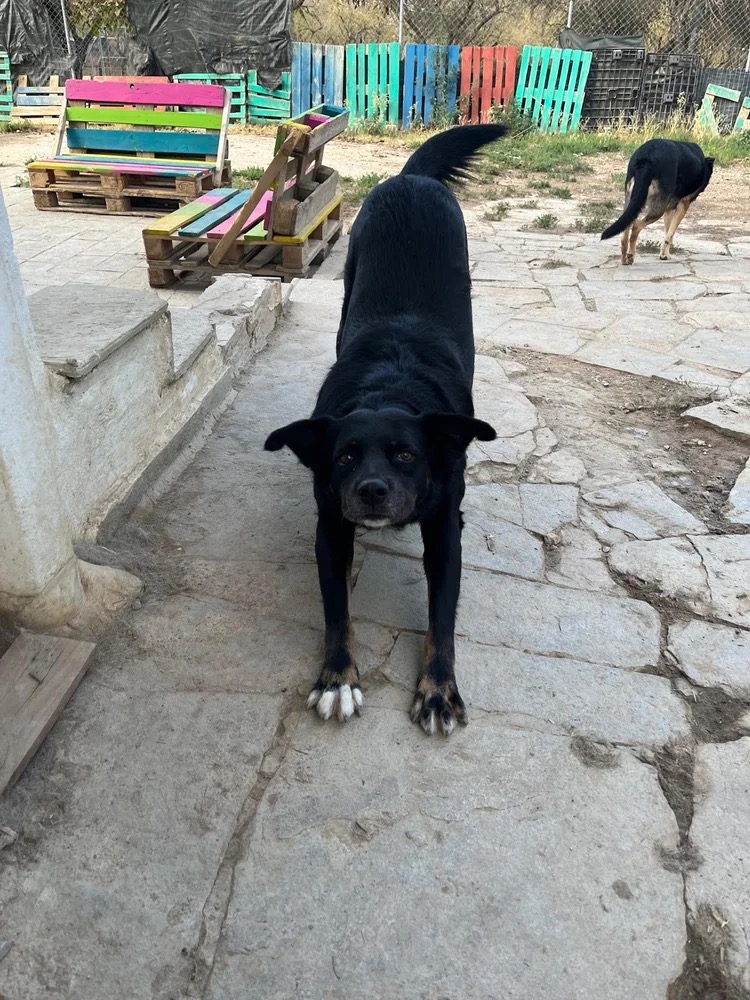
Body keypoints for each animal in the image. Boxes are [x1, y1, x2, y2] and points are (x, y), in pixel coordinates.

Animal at [265, 124, 505, 737]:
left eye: (406, 456)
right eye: (344, 458)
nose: (371, 492)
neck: (388, 388)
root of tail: (410, 179)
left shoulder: (444, 529)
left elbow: (441, 620)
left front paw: (438, 689)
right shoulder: (331, 524)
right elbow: (337, 612)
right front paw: (337, 678)